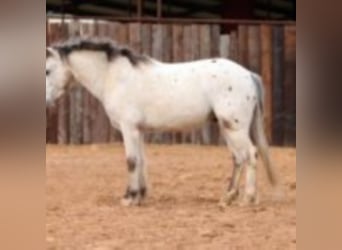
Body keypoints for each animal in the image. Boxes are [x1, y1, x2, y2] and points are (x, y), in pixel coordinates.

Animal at [46, 38, 278, 206]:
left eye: (47, 70)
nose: (46, 101)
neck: (114, 77)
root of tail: (248, 74)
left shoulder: (128, 128)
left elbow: (131, 161)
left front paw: (129, 197)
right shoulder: (138, 130)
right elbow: (141, 161)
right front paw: (140, 195)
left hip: (235, 127)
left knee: (251, 154)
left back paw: (247, 198)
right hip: (227, 127)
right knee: (238, 158)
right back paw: (228, 196)